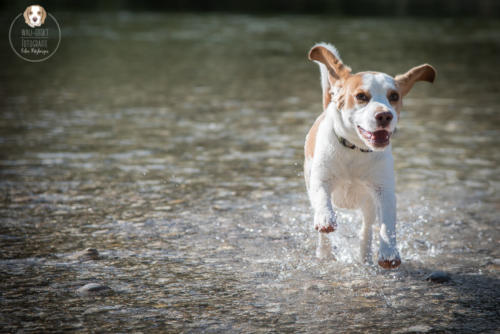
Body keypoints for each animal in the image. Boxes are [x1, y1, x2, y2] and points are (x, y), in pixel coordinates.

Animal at [302, 43, 436, 268]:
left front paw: (389, 252)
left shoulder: (384, 190)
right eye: (361, 96)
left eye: (394, 96)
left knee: (366, 229)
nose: (384, 115)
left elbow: (388, 223)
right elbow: (322, 198)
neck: (355, 150)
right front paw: (326, 219)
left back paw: (365, 256)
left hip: (368, 205)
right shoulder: (320, 179)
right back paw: (324, 252)